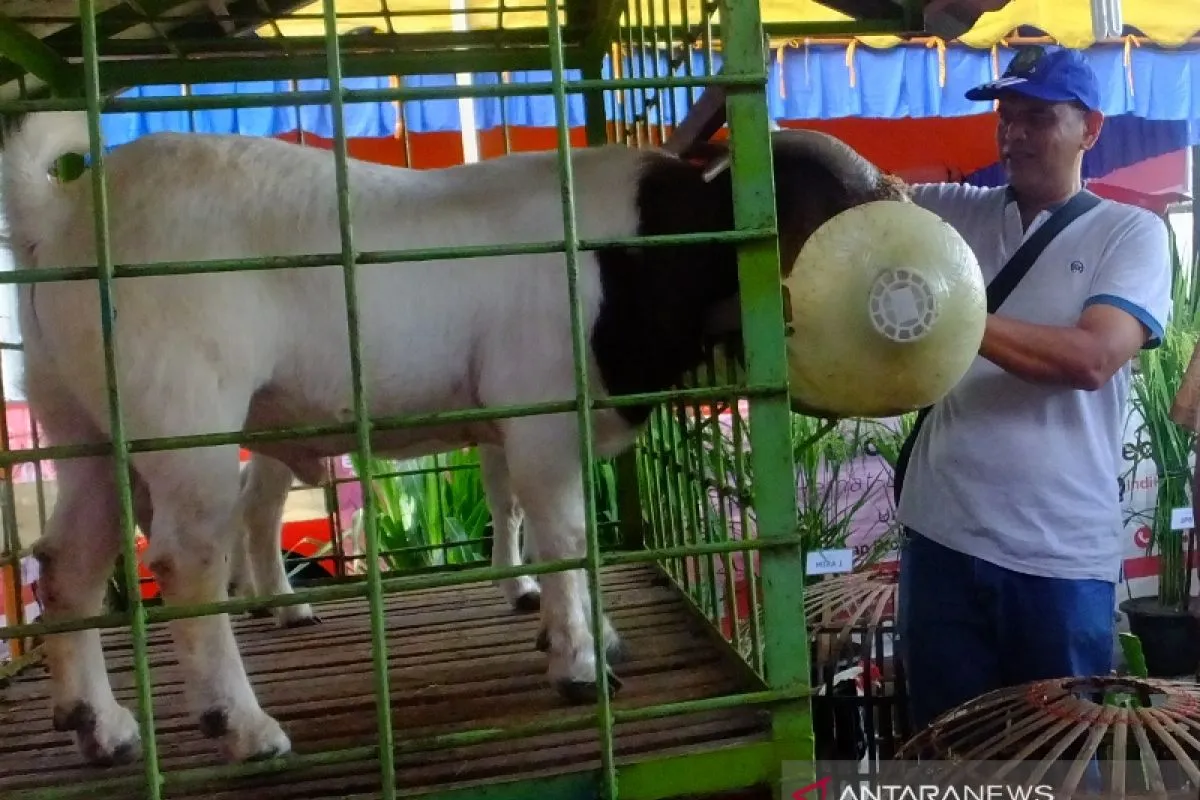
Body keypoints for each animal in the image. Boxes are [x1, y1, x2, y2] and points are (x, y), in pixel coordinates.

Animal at [2, 110, 909, 767]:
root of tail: (60, 210)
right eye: (835, 210)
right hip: (184, 408)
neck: (643, 250)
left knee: (68, 560)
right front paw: (581, 662)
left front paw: (581, 634)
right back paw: (243, 725)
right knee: (186, 558)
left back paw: (101, 725)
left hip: (78, 417)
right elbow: (567, 533)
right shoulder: (540, 408)